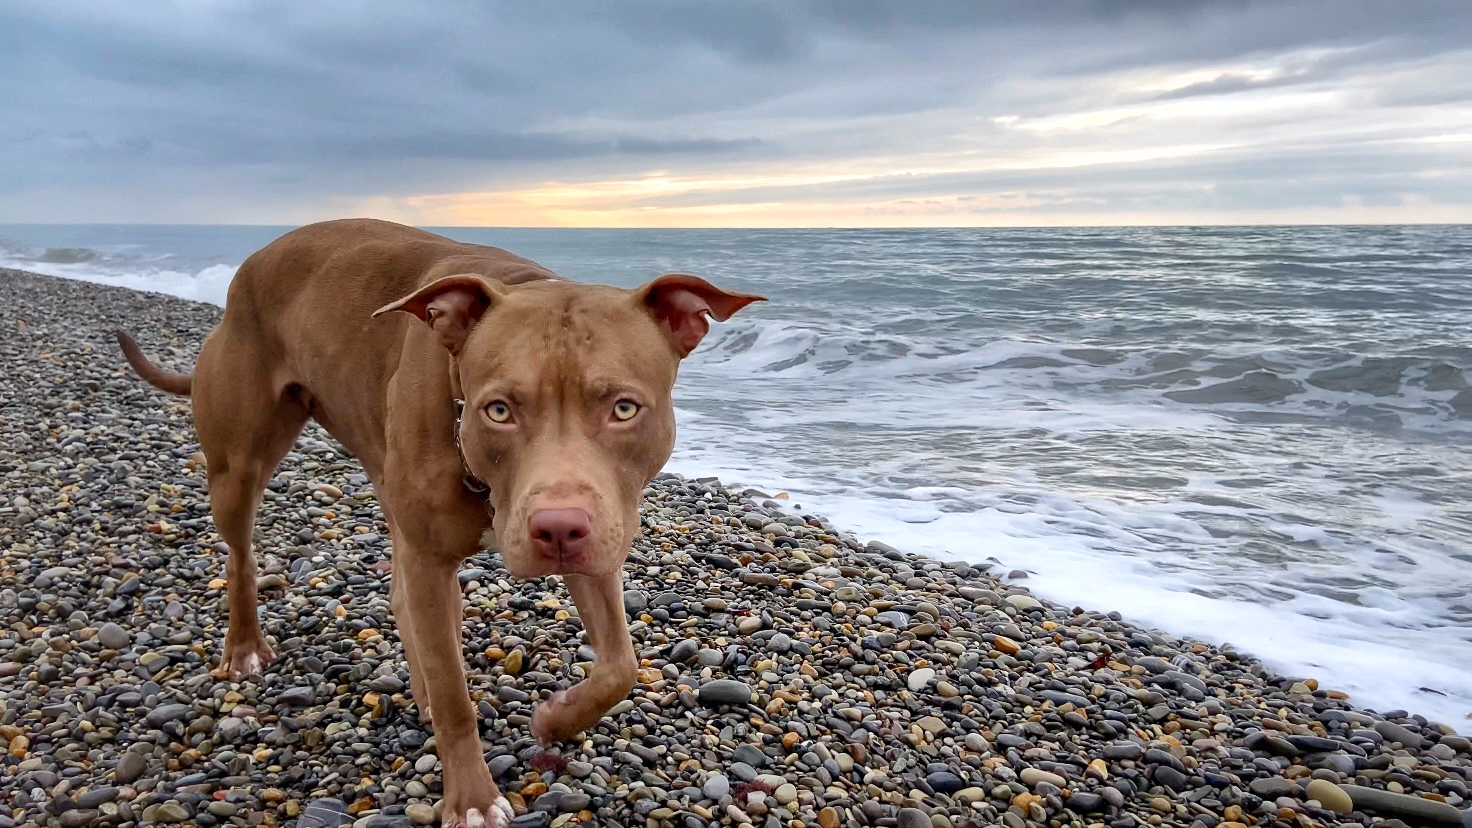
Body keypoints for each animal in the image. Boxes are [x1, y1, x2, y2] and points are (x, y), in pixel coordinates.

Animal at [116, 216, 765, 819]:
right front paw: (472, 799)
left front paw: (556, 719)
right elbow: (457, 699)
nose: (556, 528)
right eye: (498, 410)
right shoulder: (437, 555)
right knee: (242, 556)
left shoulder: (597, 535)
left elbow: (620, 666)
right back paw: (247, 646)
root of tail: (248, 269)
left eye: (625, 408)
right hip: (238, 466)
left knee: (405, 594)